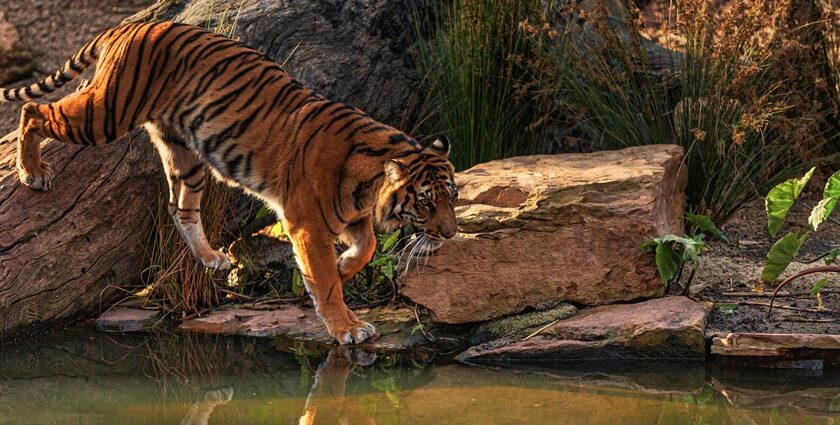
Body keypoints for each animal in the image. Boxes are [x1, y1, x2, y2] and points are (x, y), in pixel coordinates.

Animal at [0, 20, 460, 344]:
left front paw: (346, 267)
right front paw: (347, 326)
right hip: (106, 112)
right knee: (35, 112)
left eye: (452, 197)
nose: (451, 234)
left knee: (180, 208)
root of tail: (129, 25)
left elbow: (366, 247)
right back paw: (32, 171)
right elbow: (327, 282)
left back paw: (211, 259)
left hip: (183, 152)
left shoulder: (348, 215)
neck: (368, 184)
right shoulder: (307, 223)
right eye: (425, 202)